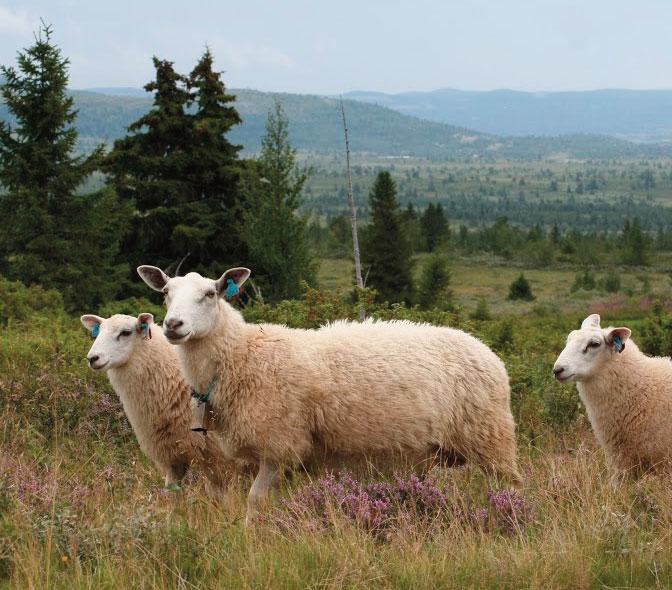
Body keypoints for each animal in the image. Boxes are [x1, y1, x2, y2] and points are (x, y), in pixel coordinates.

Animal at [136, 264, 524, 524]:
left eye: (209, 294)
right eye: (166, 294)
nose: (173, 325)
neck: (241, 356)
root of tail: (487, 352)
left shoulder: (280, 445)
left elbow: (254, 501)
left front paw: (250, 536)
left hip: (490, 438)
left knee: (512, 485)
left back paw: (510, 515)